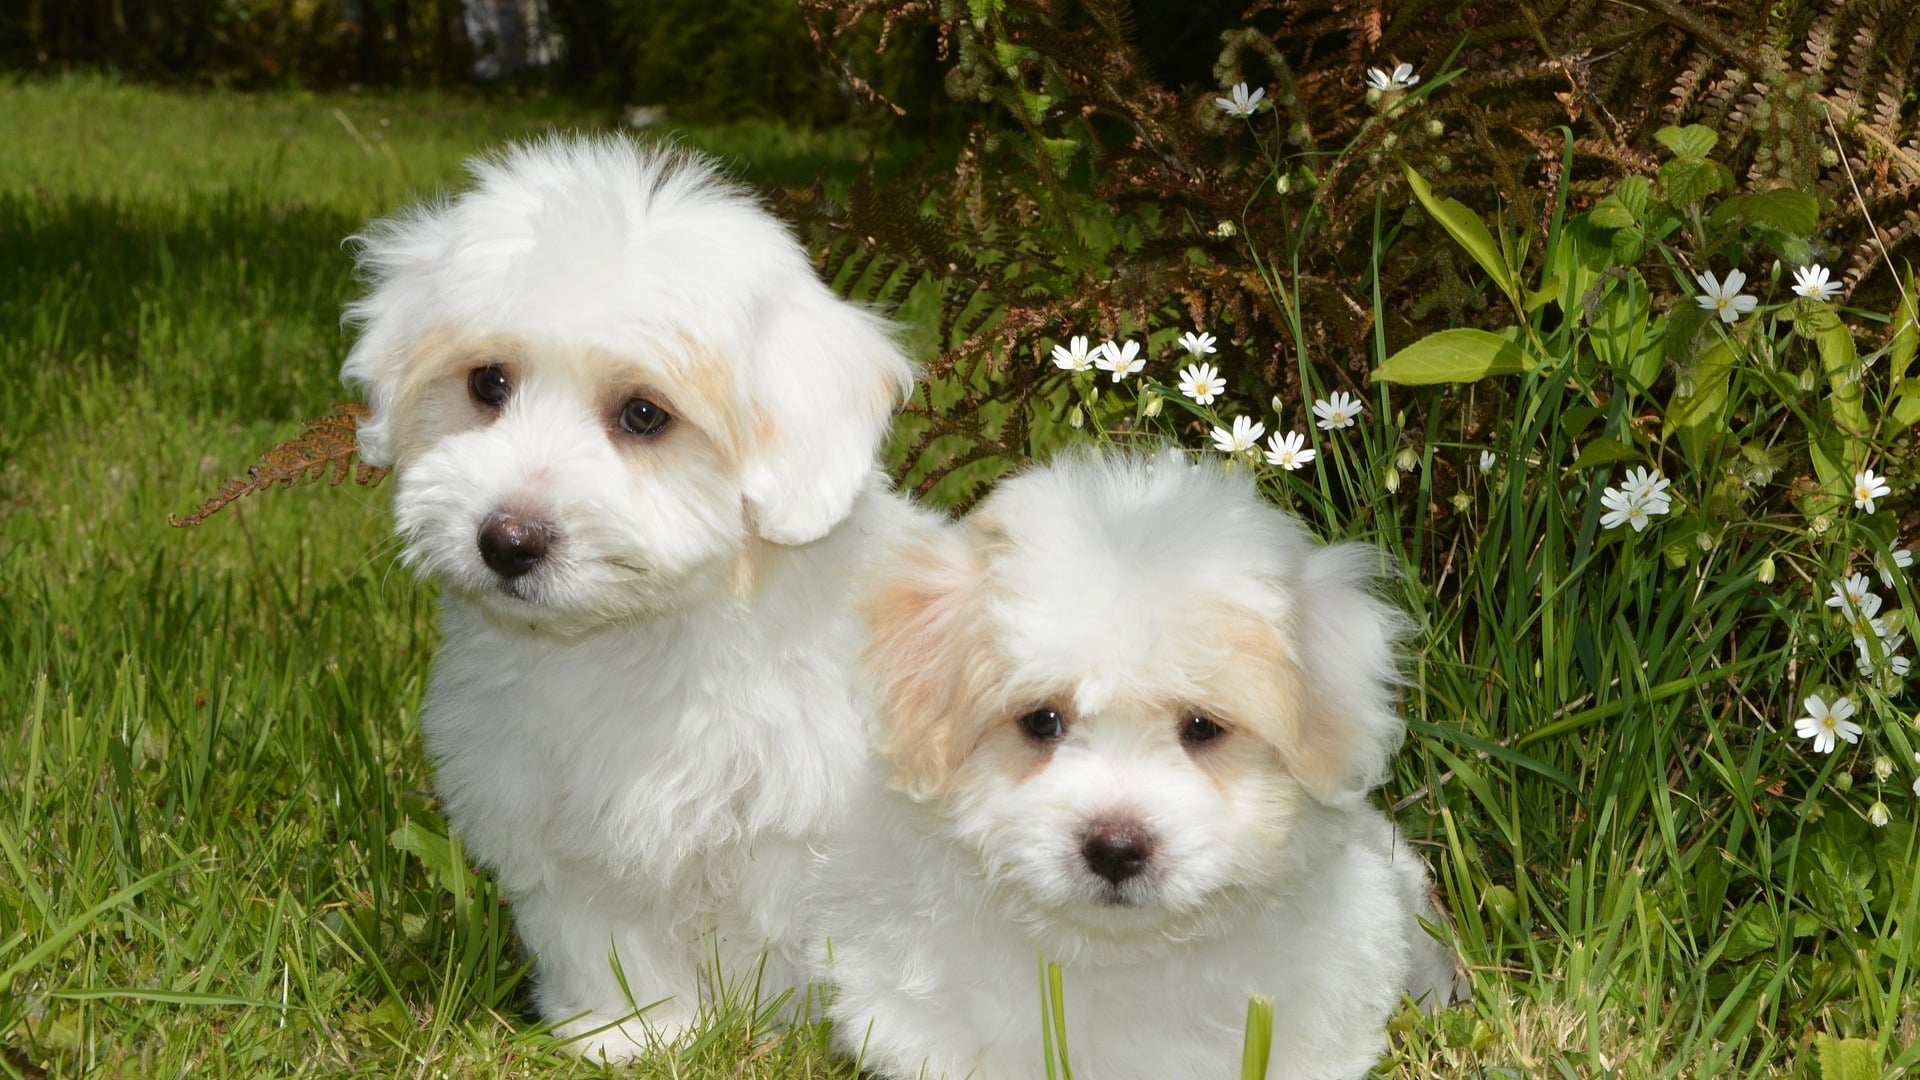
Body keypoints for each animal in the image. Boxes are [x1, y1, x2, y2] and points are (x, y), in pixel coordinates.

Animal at [341, 136, 925, 1060]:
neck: (636, 634)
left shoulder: (800, 825)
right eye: (488, 383)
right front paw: (625, 1032)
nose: (508, 540)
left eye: (645, 414)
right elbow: (601, 931)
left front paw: (771, 1037)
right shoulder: (556, 819)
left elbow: (786, 940)